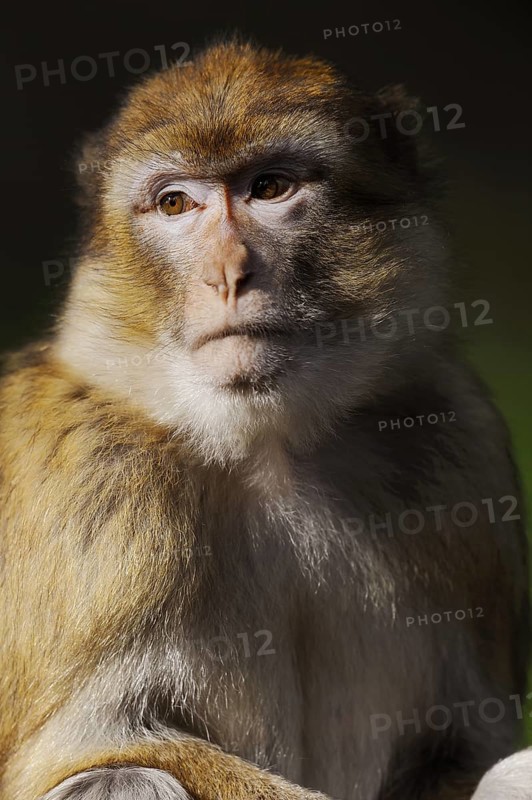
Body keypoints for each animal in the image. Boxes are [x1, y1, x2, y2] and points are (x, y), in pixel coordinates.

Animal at [0, 37, 529, 800]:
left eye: (270, 188)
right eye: (175, 203)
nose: (227, 273)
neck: (265, 445)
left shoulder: (456, 444)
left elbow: (470, 745)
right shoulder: (103, 492)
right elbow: (84, 748)